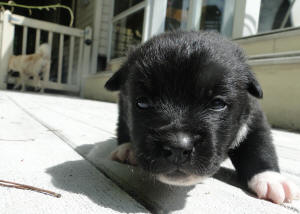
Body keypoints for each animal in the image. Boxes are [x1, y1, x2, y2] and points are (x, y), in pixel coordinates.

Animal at [104, 30, 298, 203]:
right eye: (142, 102)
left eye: (218, 104)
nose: (177, 148)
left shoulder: (254, 118)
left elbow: (259, 146)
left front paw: (271, 179)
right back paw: (126, 149)